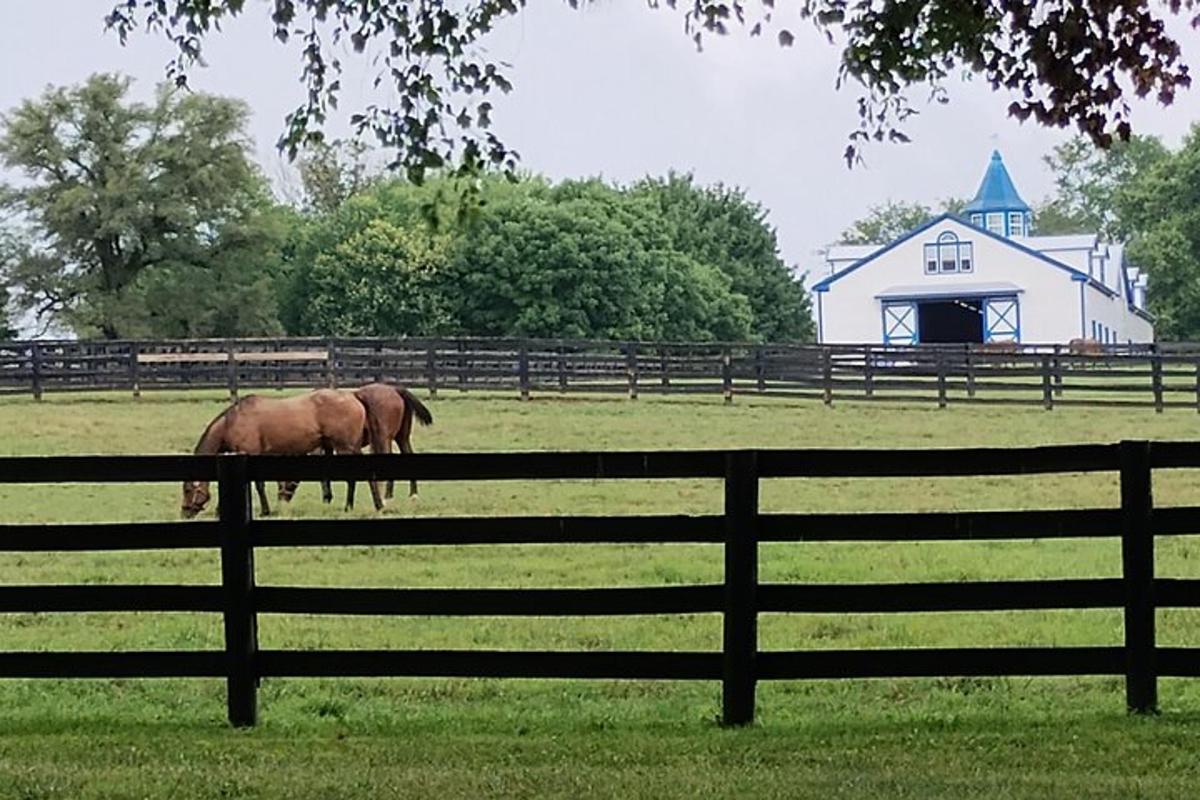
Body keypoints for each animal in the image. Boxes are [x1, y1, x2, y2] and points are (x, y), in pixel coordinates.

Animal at [177, 391, 381, 522]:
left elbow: (258, 486)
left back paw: (354, 506)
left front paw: (264, 511)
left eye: (187, 490)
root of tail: (353, 397)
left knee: (354, 477)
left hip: (345, 447)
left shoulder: (251, 454)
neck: (232, 422)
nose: (184, 514)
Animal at [278, 383, 434, 503]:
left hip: (384, 439)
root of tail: (395, 389)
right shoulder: (329, 447)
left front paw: (327, 497)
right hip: (401, 438)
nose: (281, 498)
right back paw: (411, 493)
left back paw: (386, 495)